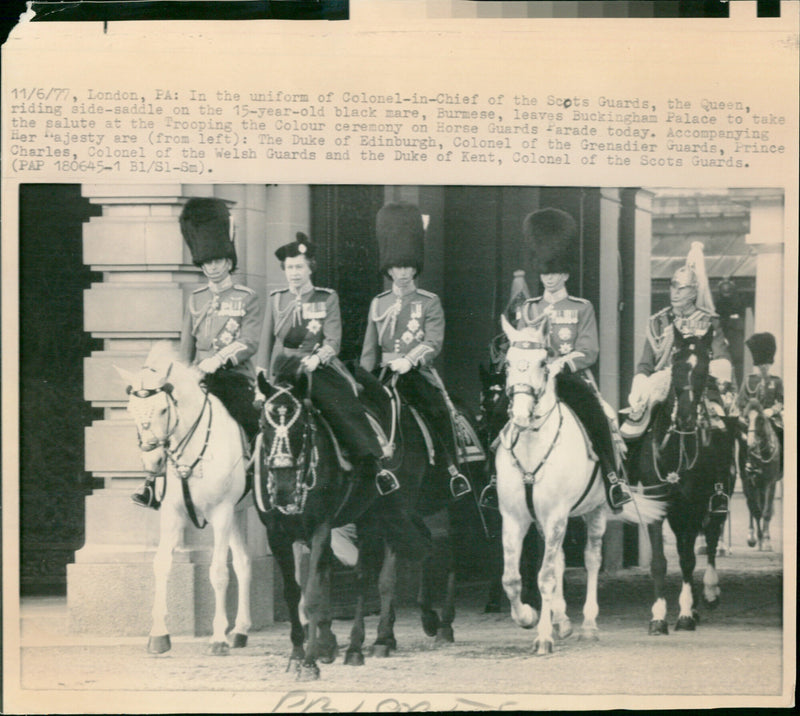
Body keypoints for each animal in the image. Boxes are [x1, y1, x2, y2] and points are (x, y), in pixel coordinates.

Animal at [115, 342, 252, 656]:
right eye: (129, 409)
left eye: (164, 409)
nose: (152, 461)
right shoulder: (173, 513)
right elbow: (161, 564)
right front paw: (159, 635)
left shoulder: (221, 513)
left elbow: (218, 572)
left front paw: (217, 637)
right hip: (239, 513)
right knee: (244, 564)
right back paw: (240, 630)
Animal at [496, 318, 664, 656]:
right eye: (507, 363)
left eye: (543, 362)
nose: (520, 415)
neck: (532, 446)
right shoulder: (514, 518)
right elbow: (511, 579)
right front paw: (528, 617)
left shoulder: (557, 516)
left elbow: (546, 576)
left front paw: (543, 636)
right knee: (560, 559)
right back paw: (562, 620)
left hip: (595, 511)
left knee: (591, 560)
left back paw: (587, 625)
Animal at [628, 328, 736, 636]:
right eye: (675, 366)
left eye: (703, 368)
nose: (687, 417)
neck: (677, 448)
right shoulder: (656, 503)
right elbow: (659, 562)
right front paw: (658, 617)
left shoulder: (696, 505)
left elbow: (689, 559)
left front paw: (686, 613)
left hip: (715, 502)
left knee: (710, 540)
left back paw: (709, 593)